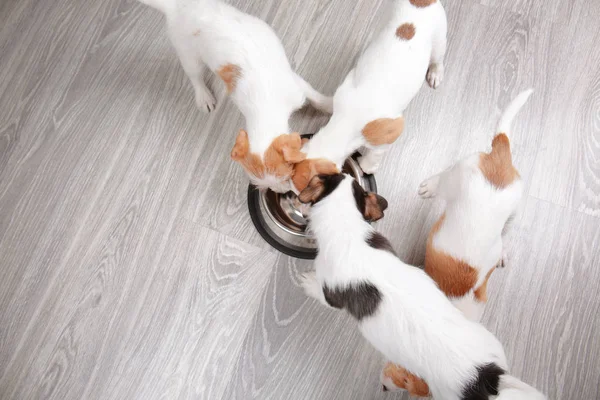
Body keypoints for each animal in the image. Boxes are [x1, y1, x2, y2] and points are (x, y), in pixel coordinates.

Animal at [137, 0, 332, 194]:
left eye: (286, 176)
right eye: (265, 186)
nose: (282, 192)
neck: (265, 108)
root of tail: (175, 7)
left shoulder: (296, 86)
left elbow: (315, 97)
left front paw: (329, 105)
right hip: (188, 55)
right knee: (195, 77)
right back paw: (203, 96)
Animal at [290, 0, 446, 192]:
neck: (346, 122)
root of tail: (422, 2)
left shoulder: (390, 133)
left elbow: (374, 154)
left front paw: (368, 166)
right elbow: (323, 102)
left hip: (439, 41)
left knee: (437, 59)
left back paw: (435, 72)